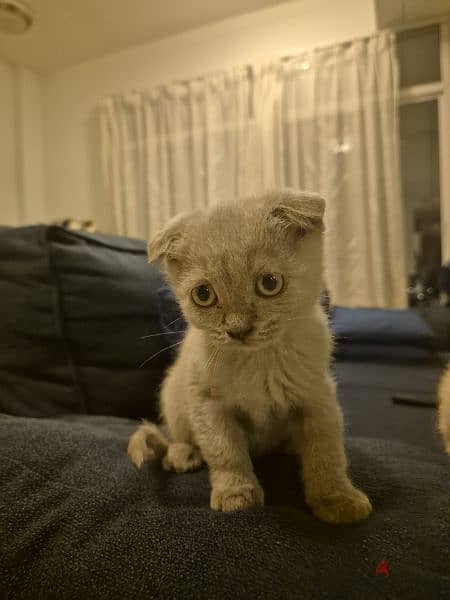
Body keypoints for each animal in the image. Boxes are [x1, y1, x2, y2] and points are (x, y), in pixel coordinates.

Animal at [127, 190, 372, 524]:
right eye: (203, 294)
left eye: (269, 283)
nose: (238, 329)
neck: (259, 363)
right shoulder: (206, 402)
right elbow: (224, 451)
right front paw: (236, 494)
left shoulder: (318, 396)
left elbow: (326, 451)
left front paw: (336, 498)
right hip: (173, 394)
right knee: (179, 434)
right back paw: (182, 454)